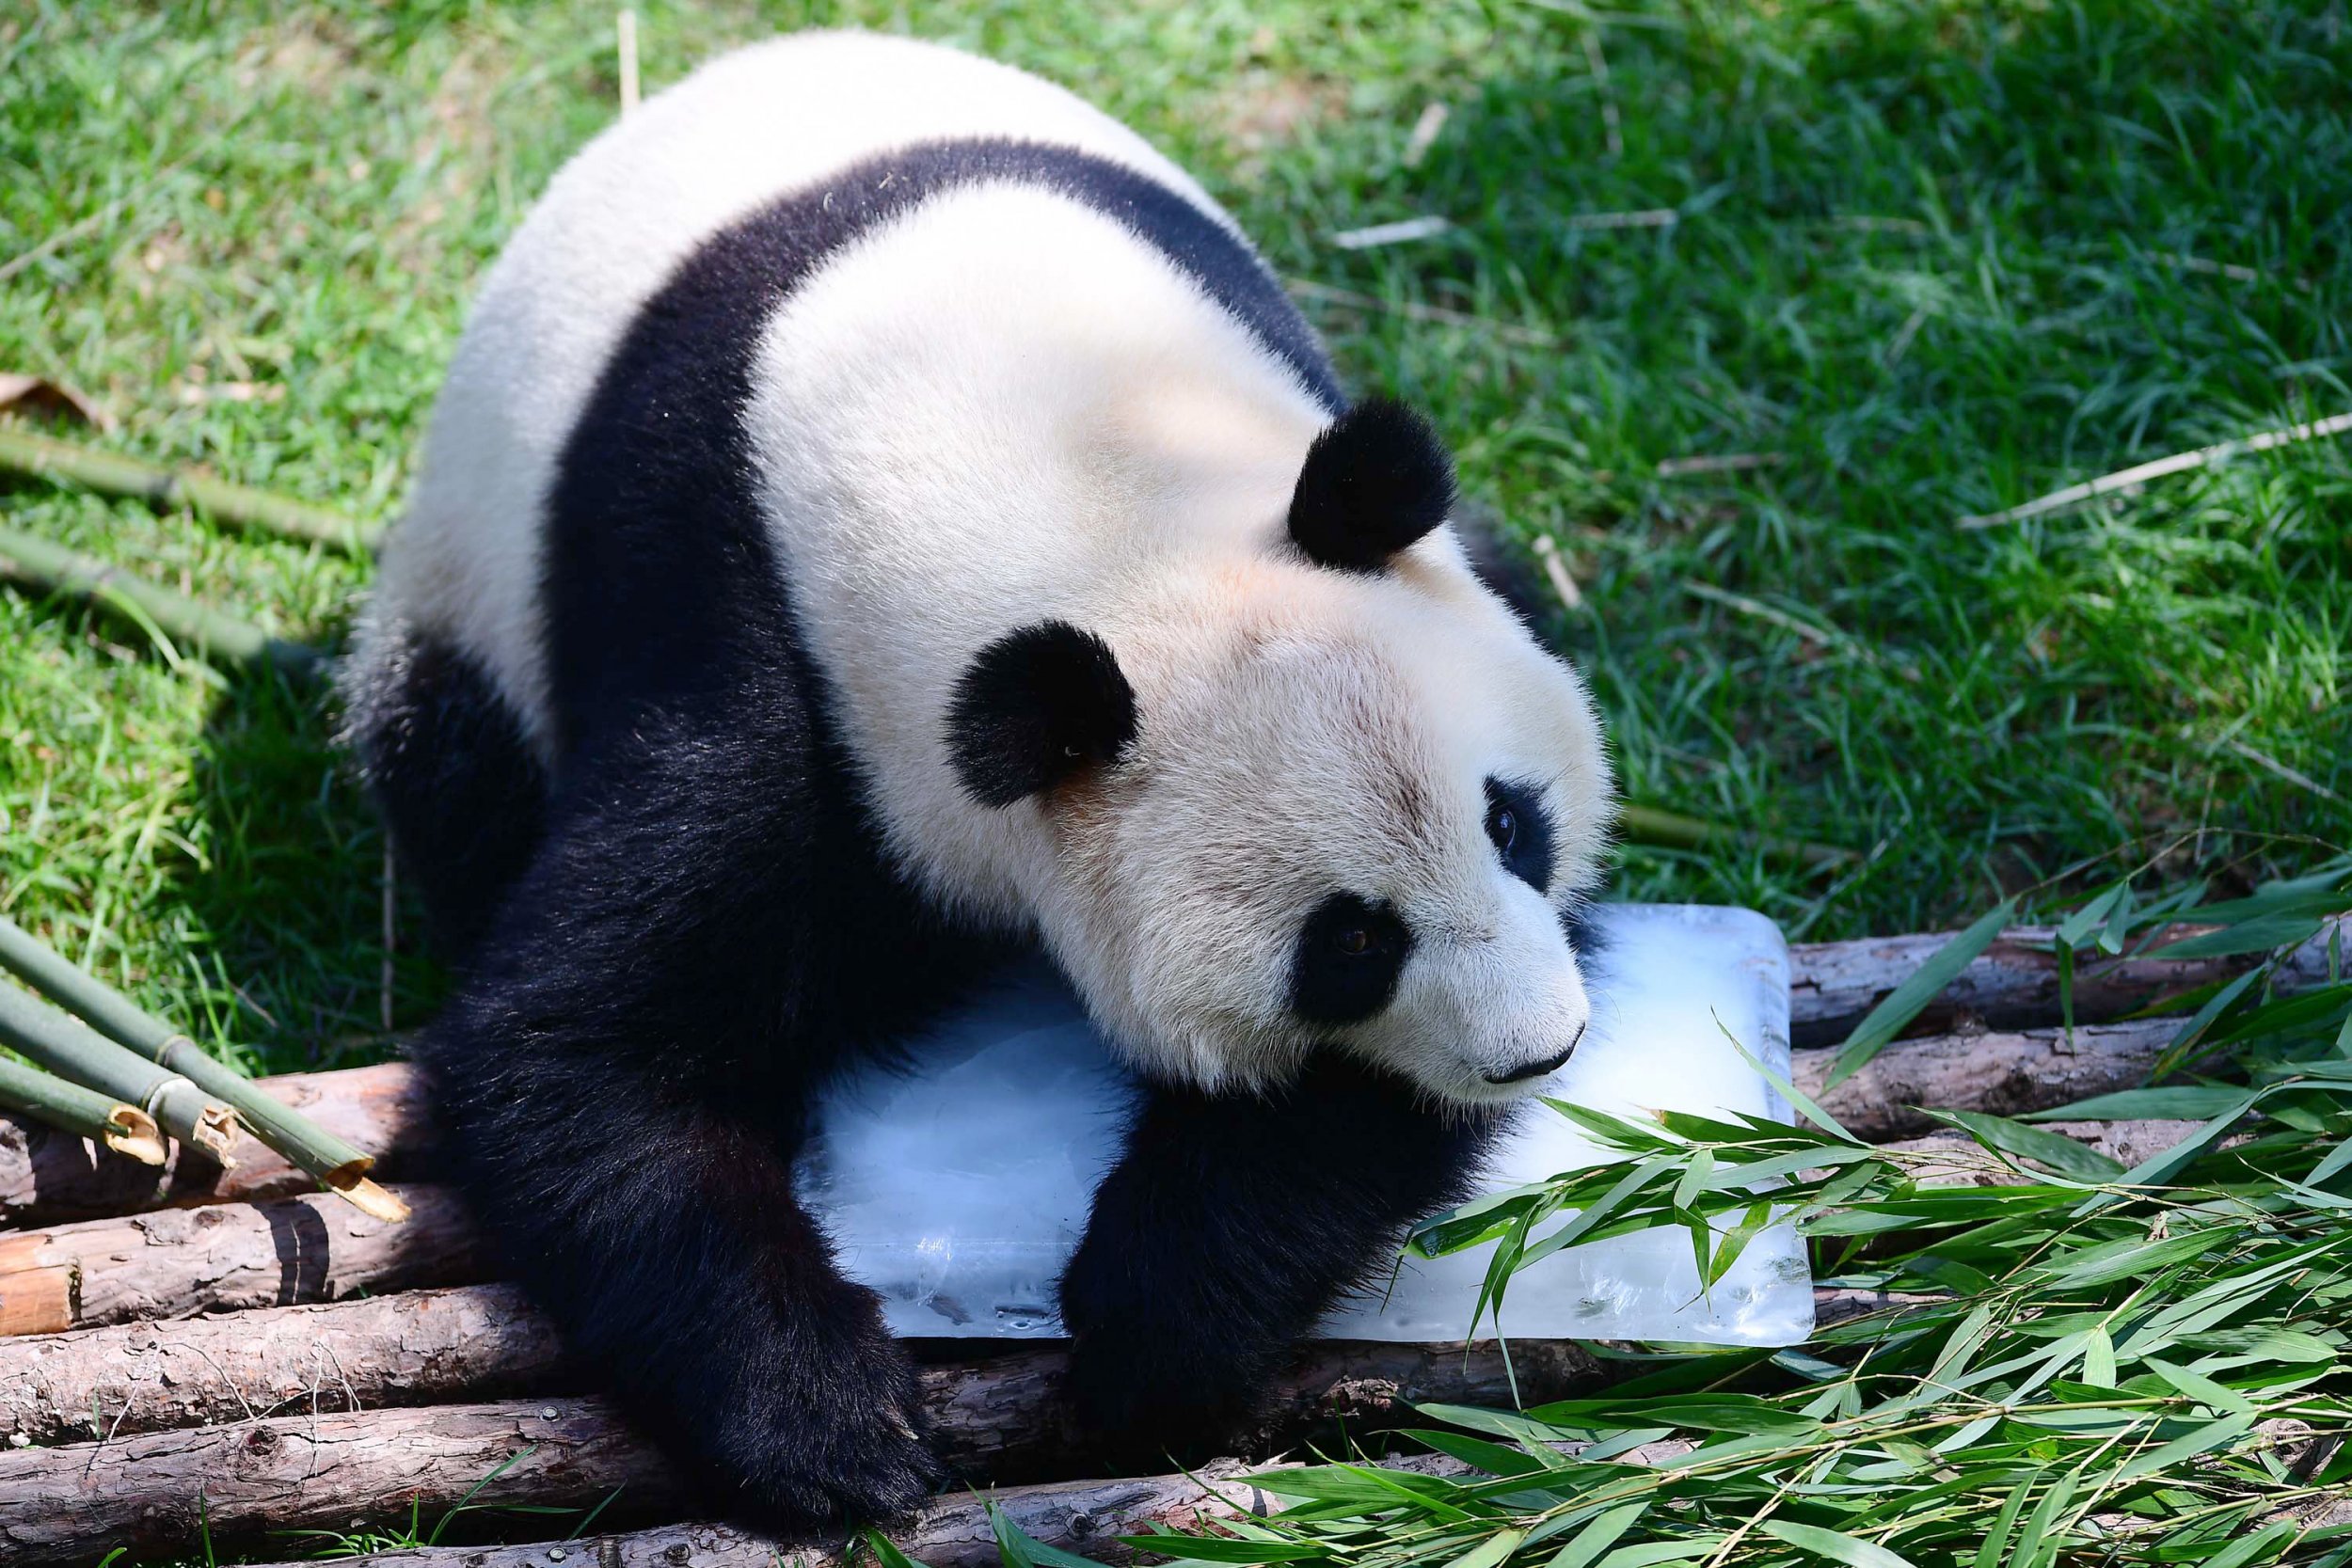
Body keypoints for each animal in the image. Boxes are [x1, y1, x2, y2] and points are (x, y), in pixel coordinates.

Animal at [345, 30, 1614, 1534]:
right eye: (1350, 942)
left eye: (1512, 820)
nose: (1540, 1045)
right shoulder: (767, 657)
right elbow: (572, 1054)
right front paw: (835, 1418)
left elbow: (1361, 1105)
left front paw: (1160, 1317)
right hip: (466, 594)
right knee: (447, 758)